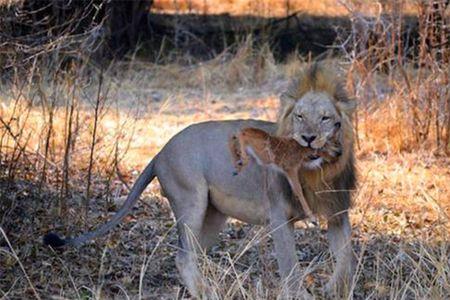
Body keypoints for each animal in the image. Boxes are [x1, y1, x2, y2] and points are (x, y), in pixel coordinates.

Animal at [44, 63, 356, 298]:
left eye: (326, 118)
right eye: (300, 117)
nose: (308, 137)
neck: (317, 173)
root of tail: (160, 151)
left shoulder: (338, 211)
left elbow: (346, 258)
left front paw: (333, 288)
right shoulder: (279, 215)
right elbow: (290, 265)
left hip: (213, 214)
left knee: (192, 254)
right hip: (190, 199)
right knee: (183, 257)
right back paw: (207, 292)